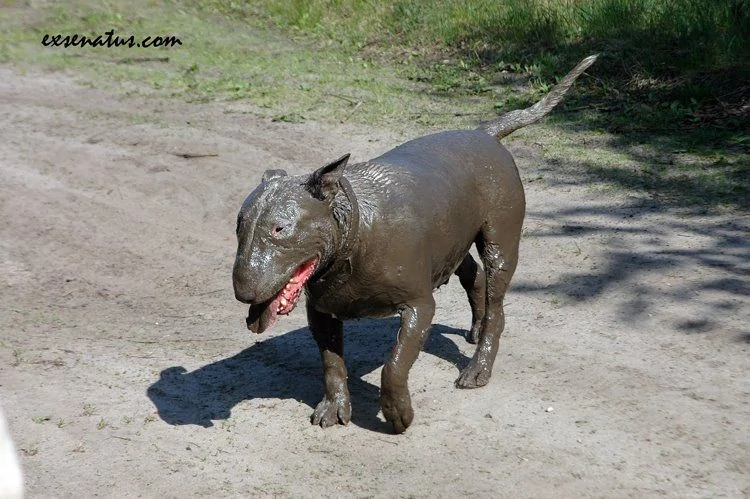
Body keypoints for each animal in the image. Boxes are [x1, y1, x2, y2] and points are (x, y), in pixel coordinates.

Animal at [235, 52, 600, 432]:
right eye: (239, 225)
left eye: (280, 229)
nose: (244, 294)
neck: (355, 237)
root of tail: (484, 134)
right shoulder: (321, 311)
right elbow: (331, 363)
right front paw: (334, 407)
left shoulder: (419, 306)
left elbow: (394, 365)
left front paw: (398, 413)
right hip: (451, 237)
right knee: (474, 277)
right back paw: (474, 329)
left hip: (500, 239)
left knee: (496, 303)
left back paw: (478, 368)